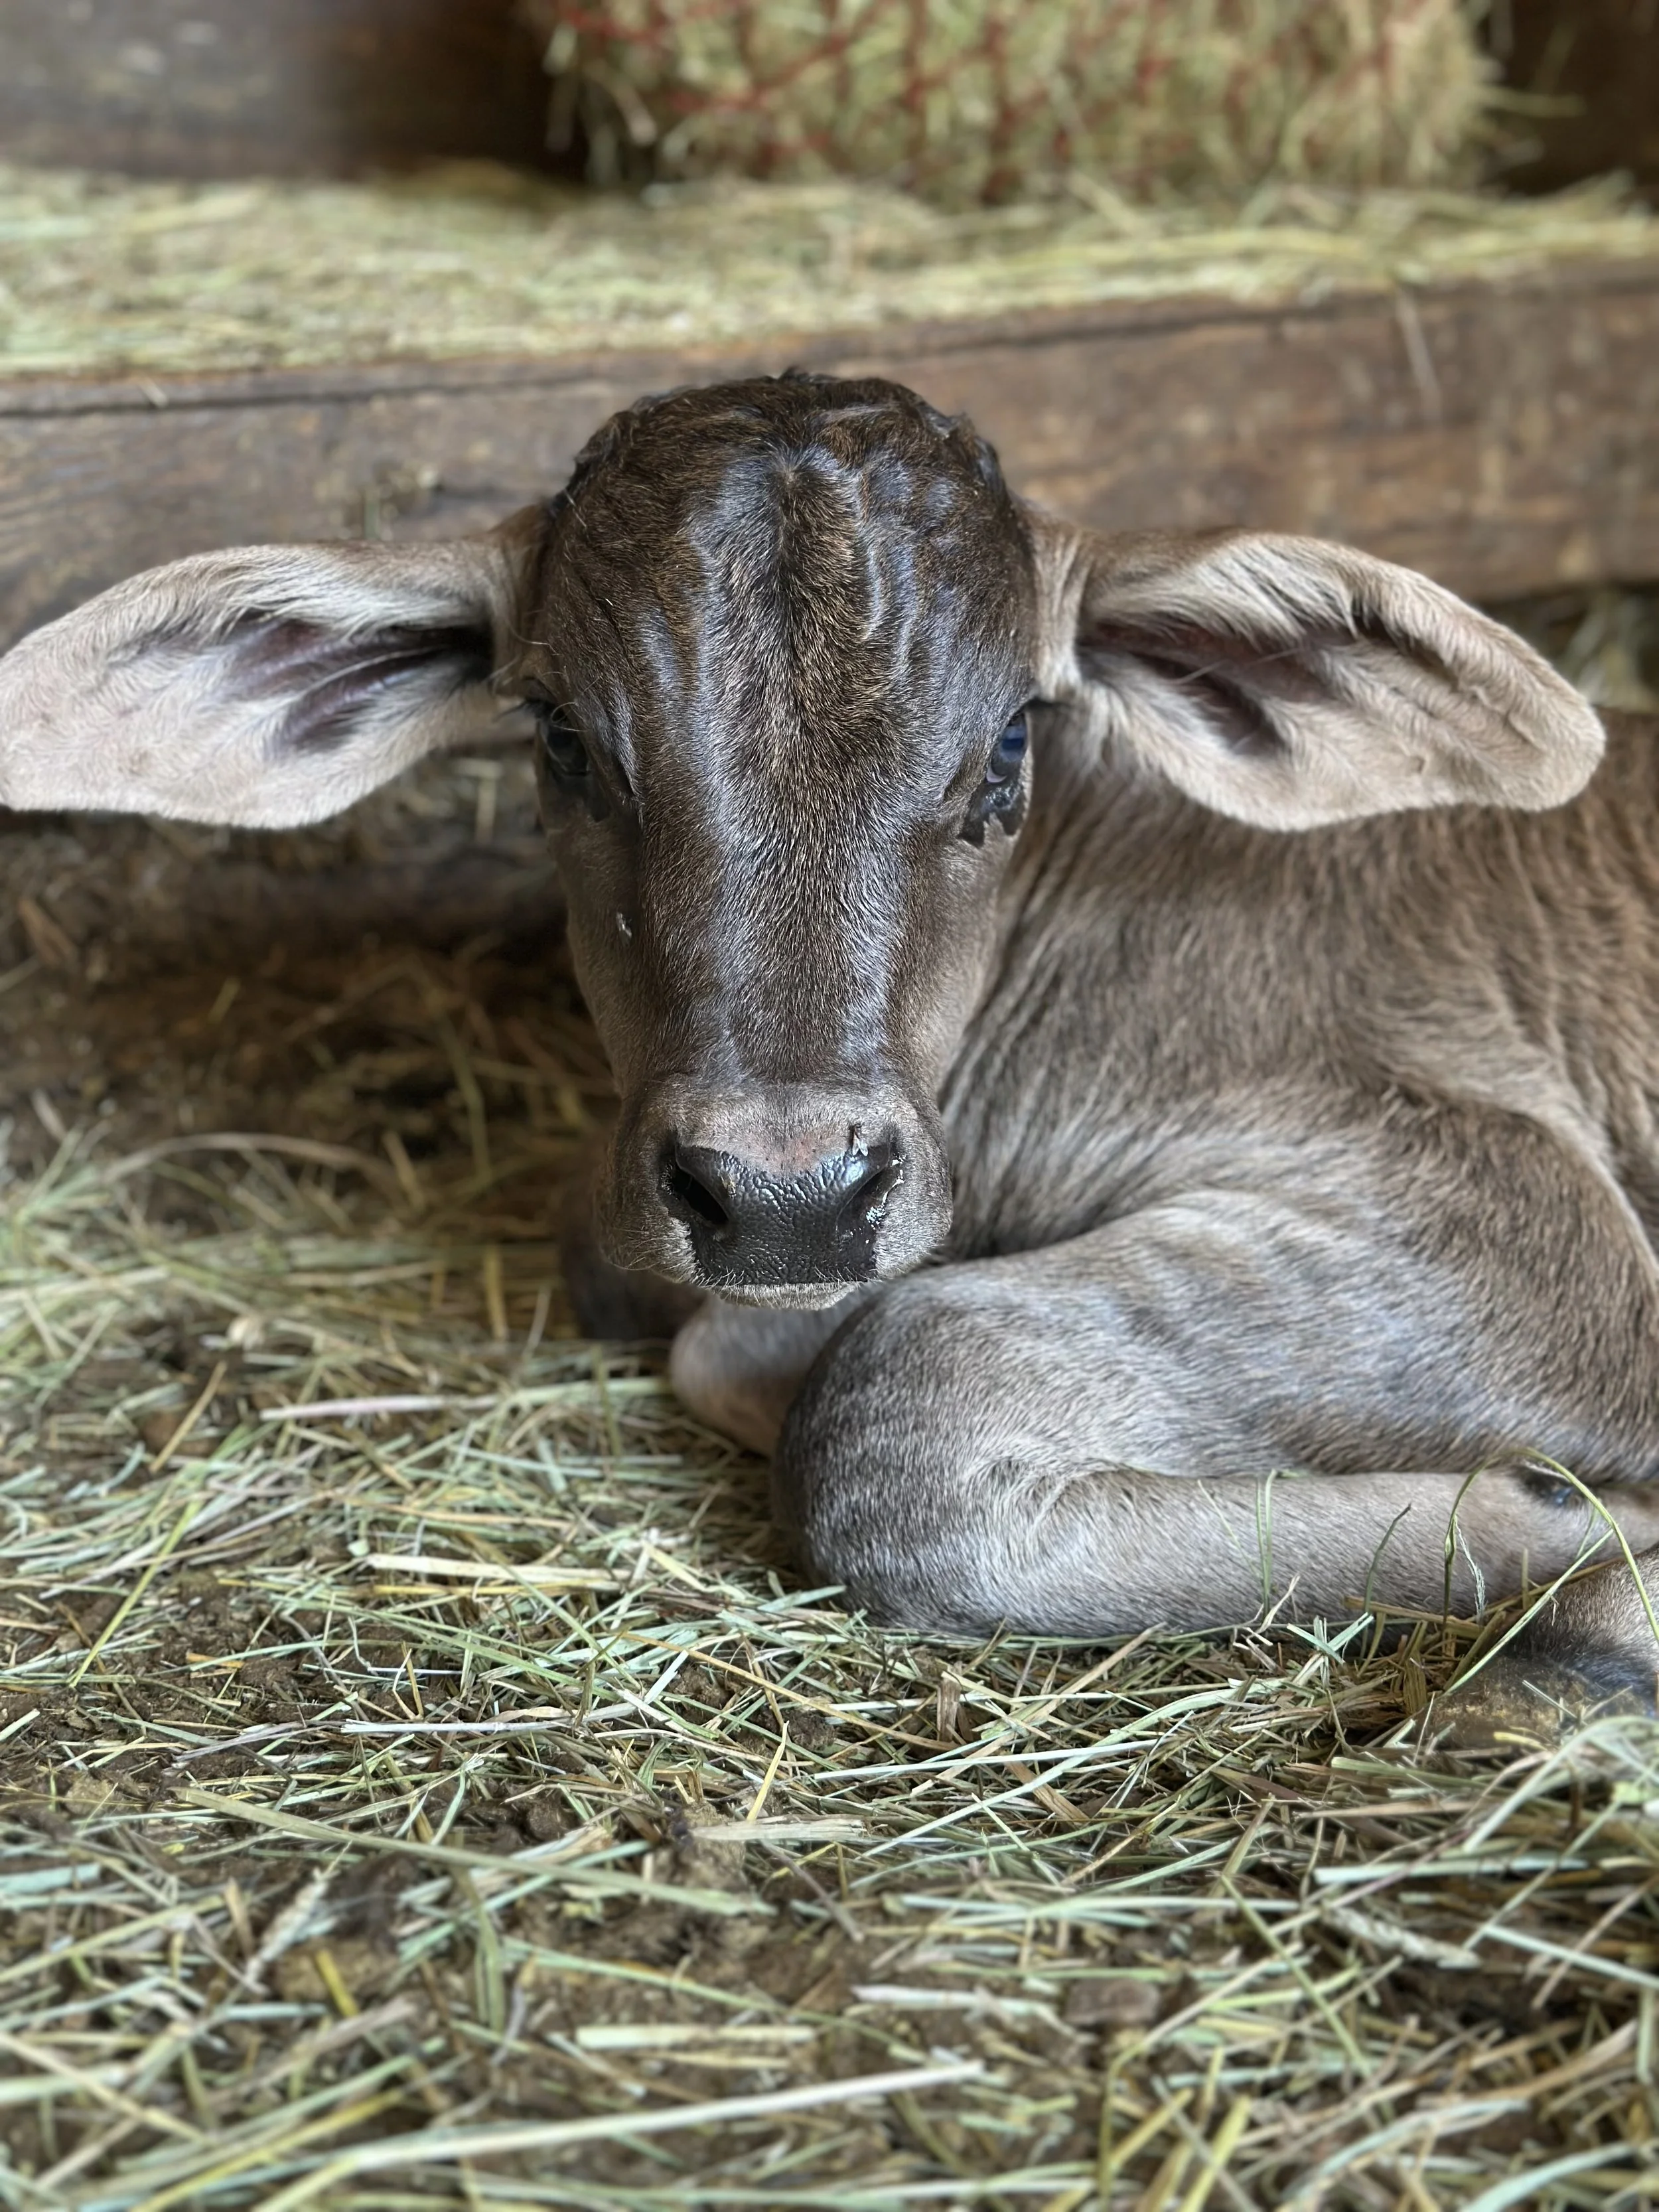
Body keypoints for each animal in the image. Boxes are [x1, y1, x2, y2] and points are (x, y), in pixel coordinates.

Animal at [4, 370, 1658, 1738]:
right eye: (561, 740)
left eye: (1009, 743)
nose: (786, 1198)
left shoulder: (1510, 1215)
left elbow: (883, 1396)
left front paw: (1582, 1575)